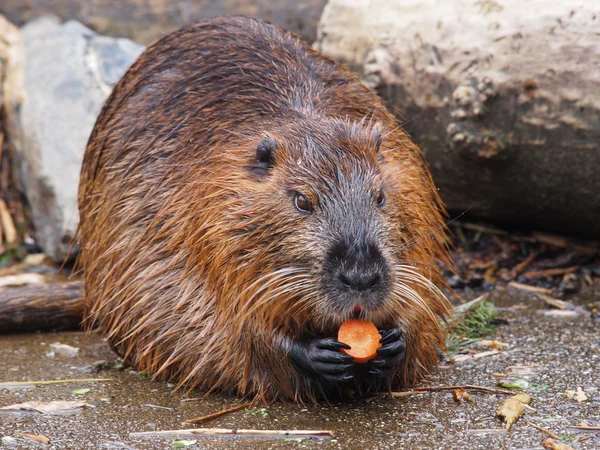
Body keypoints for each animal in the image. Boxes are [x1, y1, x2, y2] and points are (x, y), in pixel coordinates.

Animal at [76, 15, 450, 402]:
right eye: (301, 201)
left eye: (380, 196)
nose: (360, 277)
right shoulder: (174, 220)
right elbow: (210, 321)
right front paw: (313, 353)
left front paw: (394, 340)